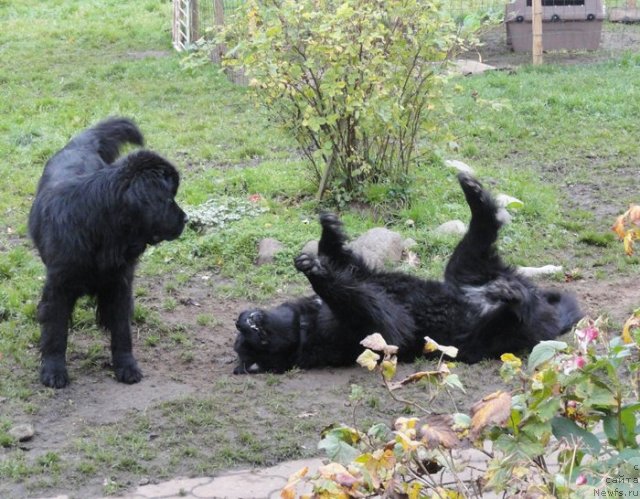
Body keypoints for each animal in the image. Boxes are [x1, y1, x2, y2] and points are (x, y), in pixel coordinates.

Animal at [29, 118, 188, 390]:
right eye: (168, 199)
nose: (186, 219)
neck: (103, 227)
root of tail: (79, 144)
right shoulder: (58, 286)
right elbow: (55, 331)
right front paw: (53, 371)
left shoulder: (120, 282)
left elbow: (122, 330)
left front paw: (126, 366)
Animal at [232, 174, 584, 374]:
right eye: (257, 340)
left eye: (252, 332)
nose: (242, 320)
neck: (305, 325)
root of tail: (552, 316)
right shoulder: (382, 328)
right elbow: (358, 297)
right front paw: (314, 271)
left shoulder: (368, 276)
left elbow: (347, 264)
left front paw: (328, 232)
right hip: (499, 327)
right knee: (519, 309)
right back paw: (513, 296)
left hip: (462, 268)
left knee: (482, 234)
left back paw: (474, 194)